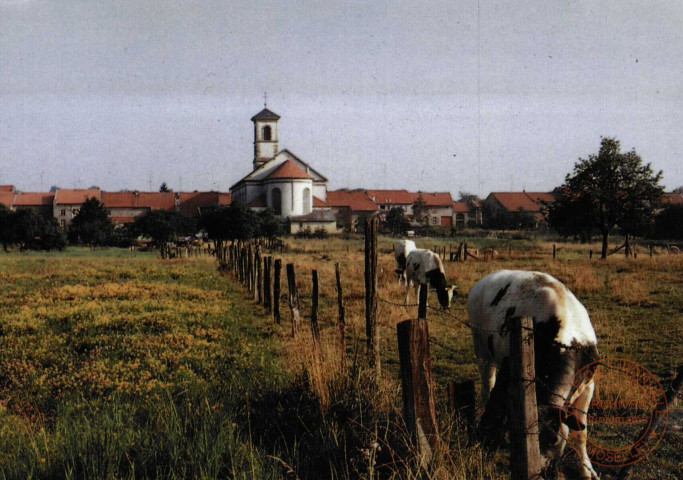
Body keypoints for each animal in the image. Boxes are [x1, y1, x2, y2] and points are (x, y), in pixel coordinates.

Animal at [470, 270, 600, 480]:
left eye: (554, 439)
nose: (543, 472)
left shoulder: (589, 384)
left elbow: (581, 432)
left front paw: (587, 469)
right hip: (481, 348)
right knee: (488, 385)